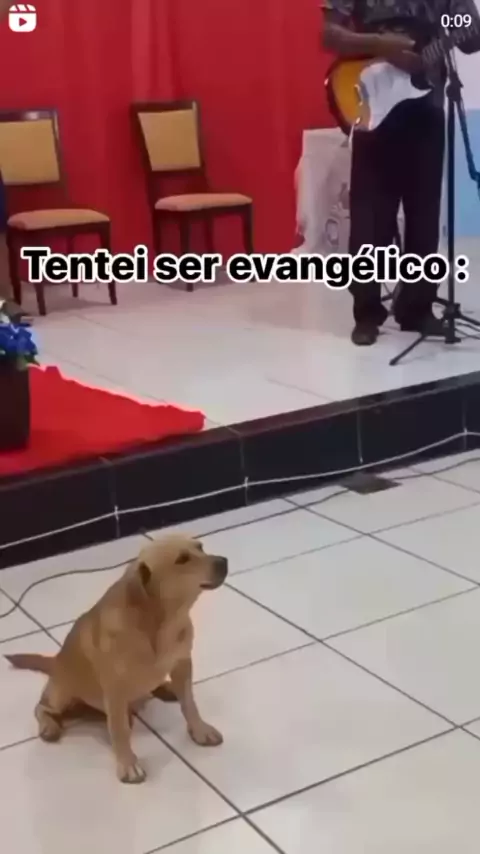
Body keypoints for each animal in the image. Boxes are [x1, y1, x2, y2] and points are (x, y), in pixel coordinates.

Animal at [5, 534, 228, 783]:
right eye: (182, 559)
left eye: (200, 546)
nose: (224, 561)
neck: (161, 621)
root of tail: (55, 661)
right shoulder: (115, 689)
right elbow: (120, 730)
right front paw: (128, 764)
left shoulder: (182, 663)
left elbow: (189, 703)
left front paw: (200, 730)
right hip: (60, 694)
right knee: (41, 707)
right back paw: (49, 726)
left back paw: (166, 688)